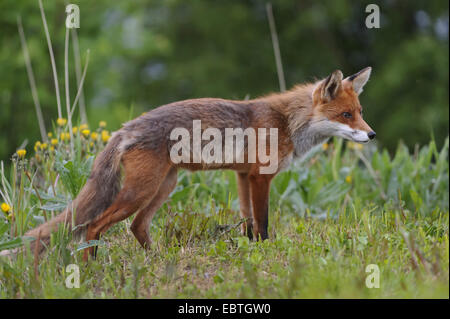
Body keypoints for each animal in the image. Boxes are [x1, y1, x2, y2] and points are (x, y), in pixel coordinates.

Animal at [4, 67, 376, 260]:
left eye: (360, 112)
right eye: (346, 115)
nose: (372, 135)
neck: (285, 122)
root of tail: (125, 127)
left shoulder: (243, 175)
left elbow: (248, 223)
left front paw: (250, 252)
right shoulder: (261, 177)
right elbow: (264, 223)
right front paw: (266, 252)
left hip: (164, 186)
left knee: (136, 227)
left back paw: (155, 260)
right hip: (141, 191)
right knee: (93, 226)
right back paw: (94, 265)